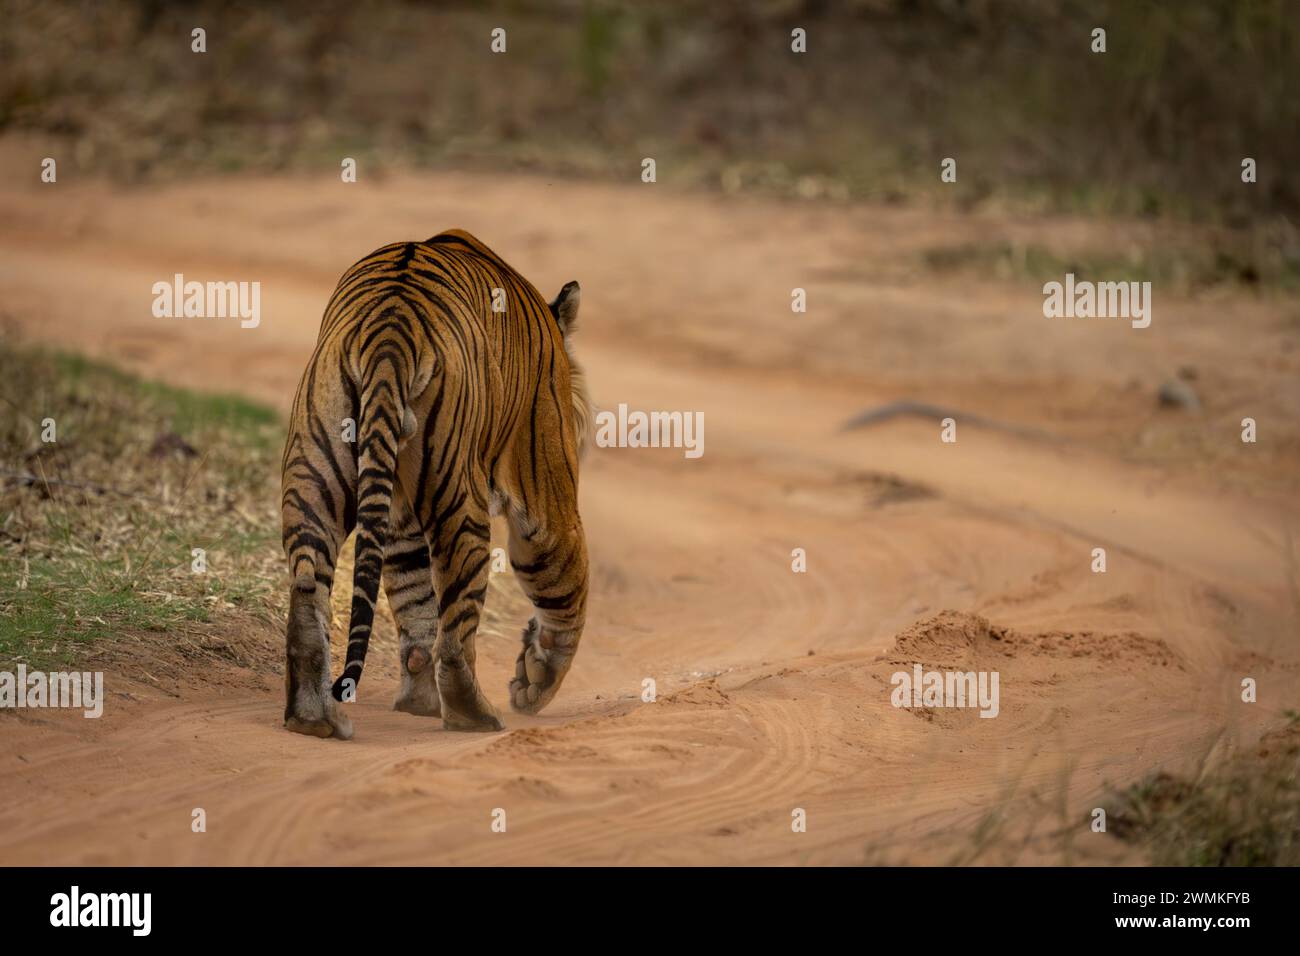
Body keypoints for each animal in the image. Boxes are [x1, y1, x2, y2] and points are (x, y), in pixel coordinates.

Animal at [280, 229, 591, 738]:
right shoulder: (545, 490)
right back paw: (474, 715)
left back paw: (313, 717)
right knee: (457, 630)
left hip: (313, 472)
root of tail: (390, 330)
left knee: (310, 588)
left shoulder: (400, 516)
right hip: (459, 500)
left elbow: (414, 603)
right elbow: (566, 588)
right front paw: (535, 680)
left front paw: (418, 702)